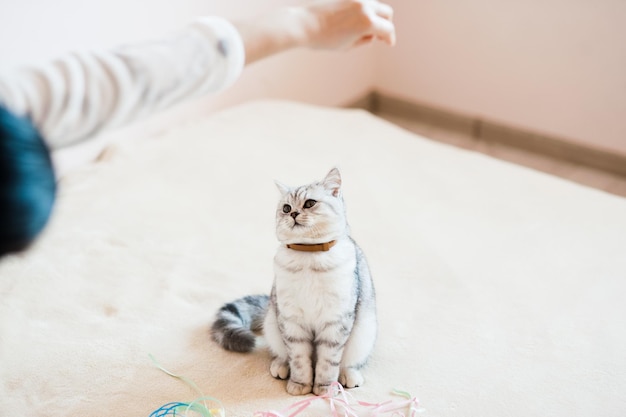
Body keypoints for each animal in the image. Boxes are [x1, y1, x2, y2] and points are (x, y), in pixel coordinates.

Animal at [210, 167, 376, 394]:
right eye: (286, 208)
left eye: (309, 203)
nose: (294, 214)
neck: (309, 256)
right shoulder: (291, 320)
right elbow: (298, 359)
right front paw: (300, 385)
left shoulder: (335, 321)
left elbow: (327, 363)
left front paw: (324, 388)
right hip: (273, 321)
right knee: (282, 354)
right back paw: (280, 366)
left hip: (364, 333)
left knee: (350, 363)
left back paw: (348, 376)